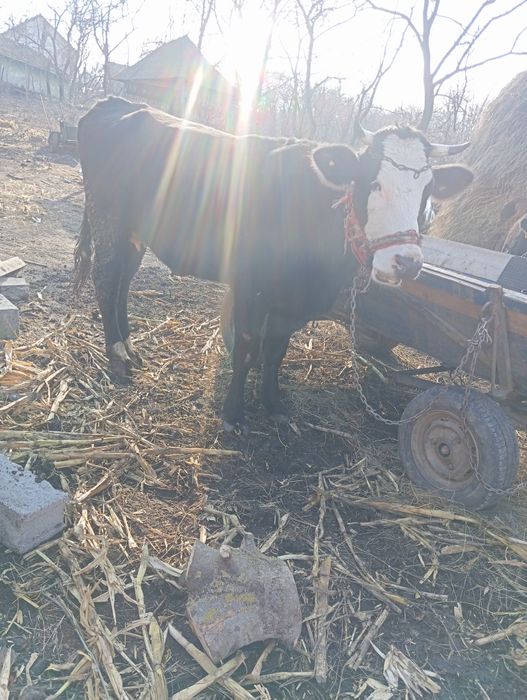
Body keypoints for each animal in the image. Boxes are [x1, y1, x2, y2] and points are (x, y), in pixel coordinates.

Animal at [74, 97, 473, 431]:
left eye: (428, 191)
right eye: (371, 183)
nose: (406, 262)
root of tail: (115, 103)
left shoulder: (292, 304)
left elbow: (276, 352)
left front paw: (274, 404)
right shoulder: (251, 287)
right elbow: (248, 348)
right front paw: (233, 413)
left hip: (135, 232)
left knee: (123, 282)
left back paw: (131, 348)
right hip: (107, 217)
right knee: (106, 280)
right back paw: (118, 357)